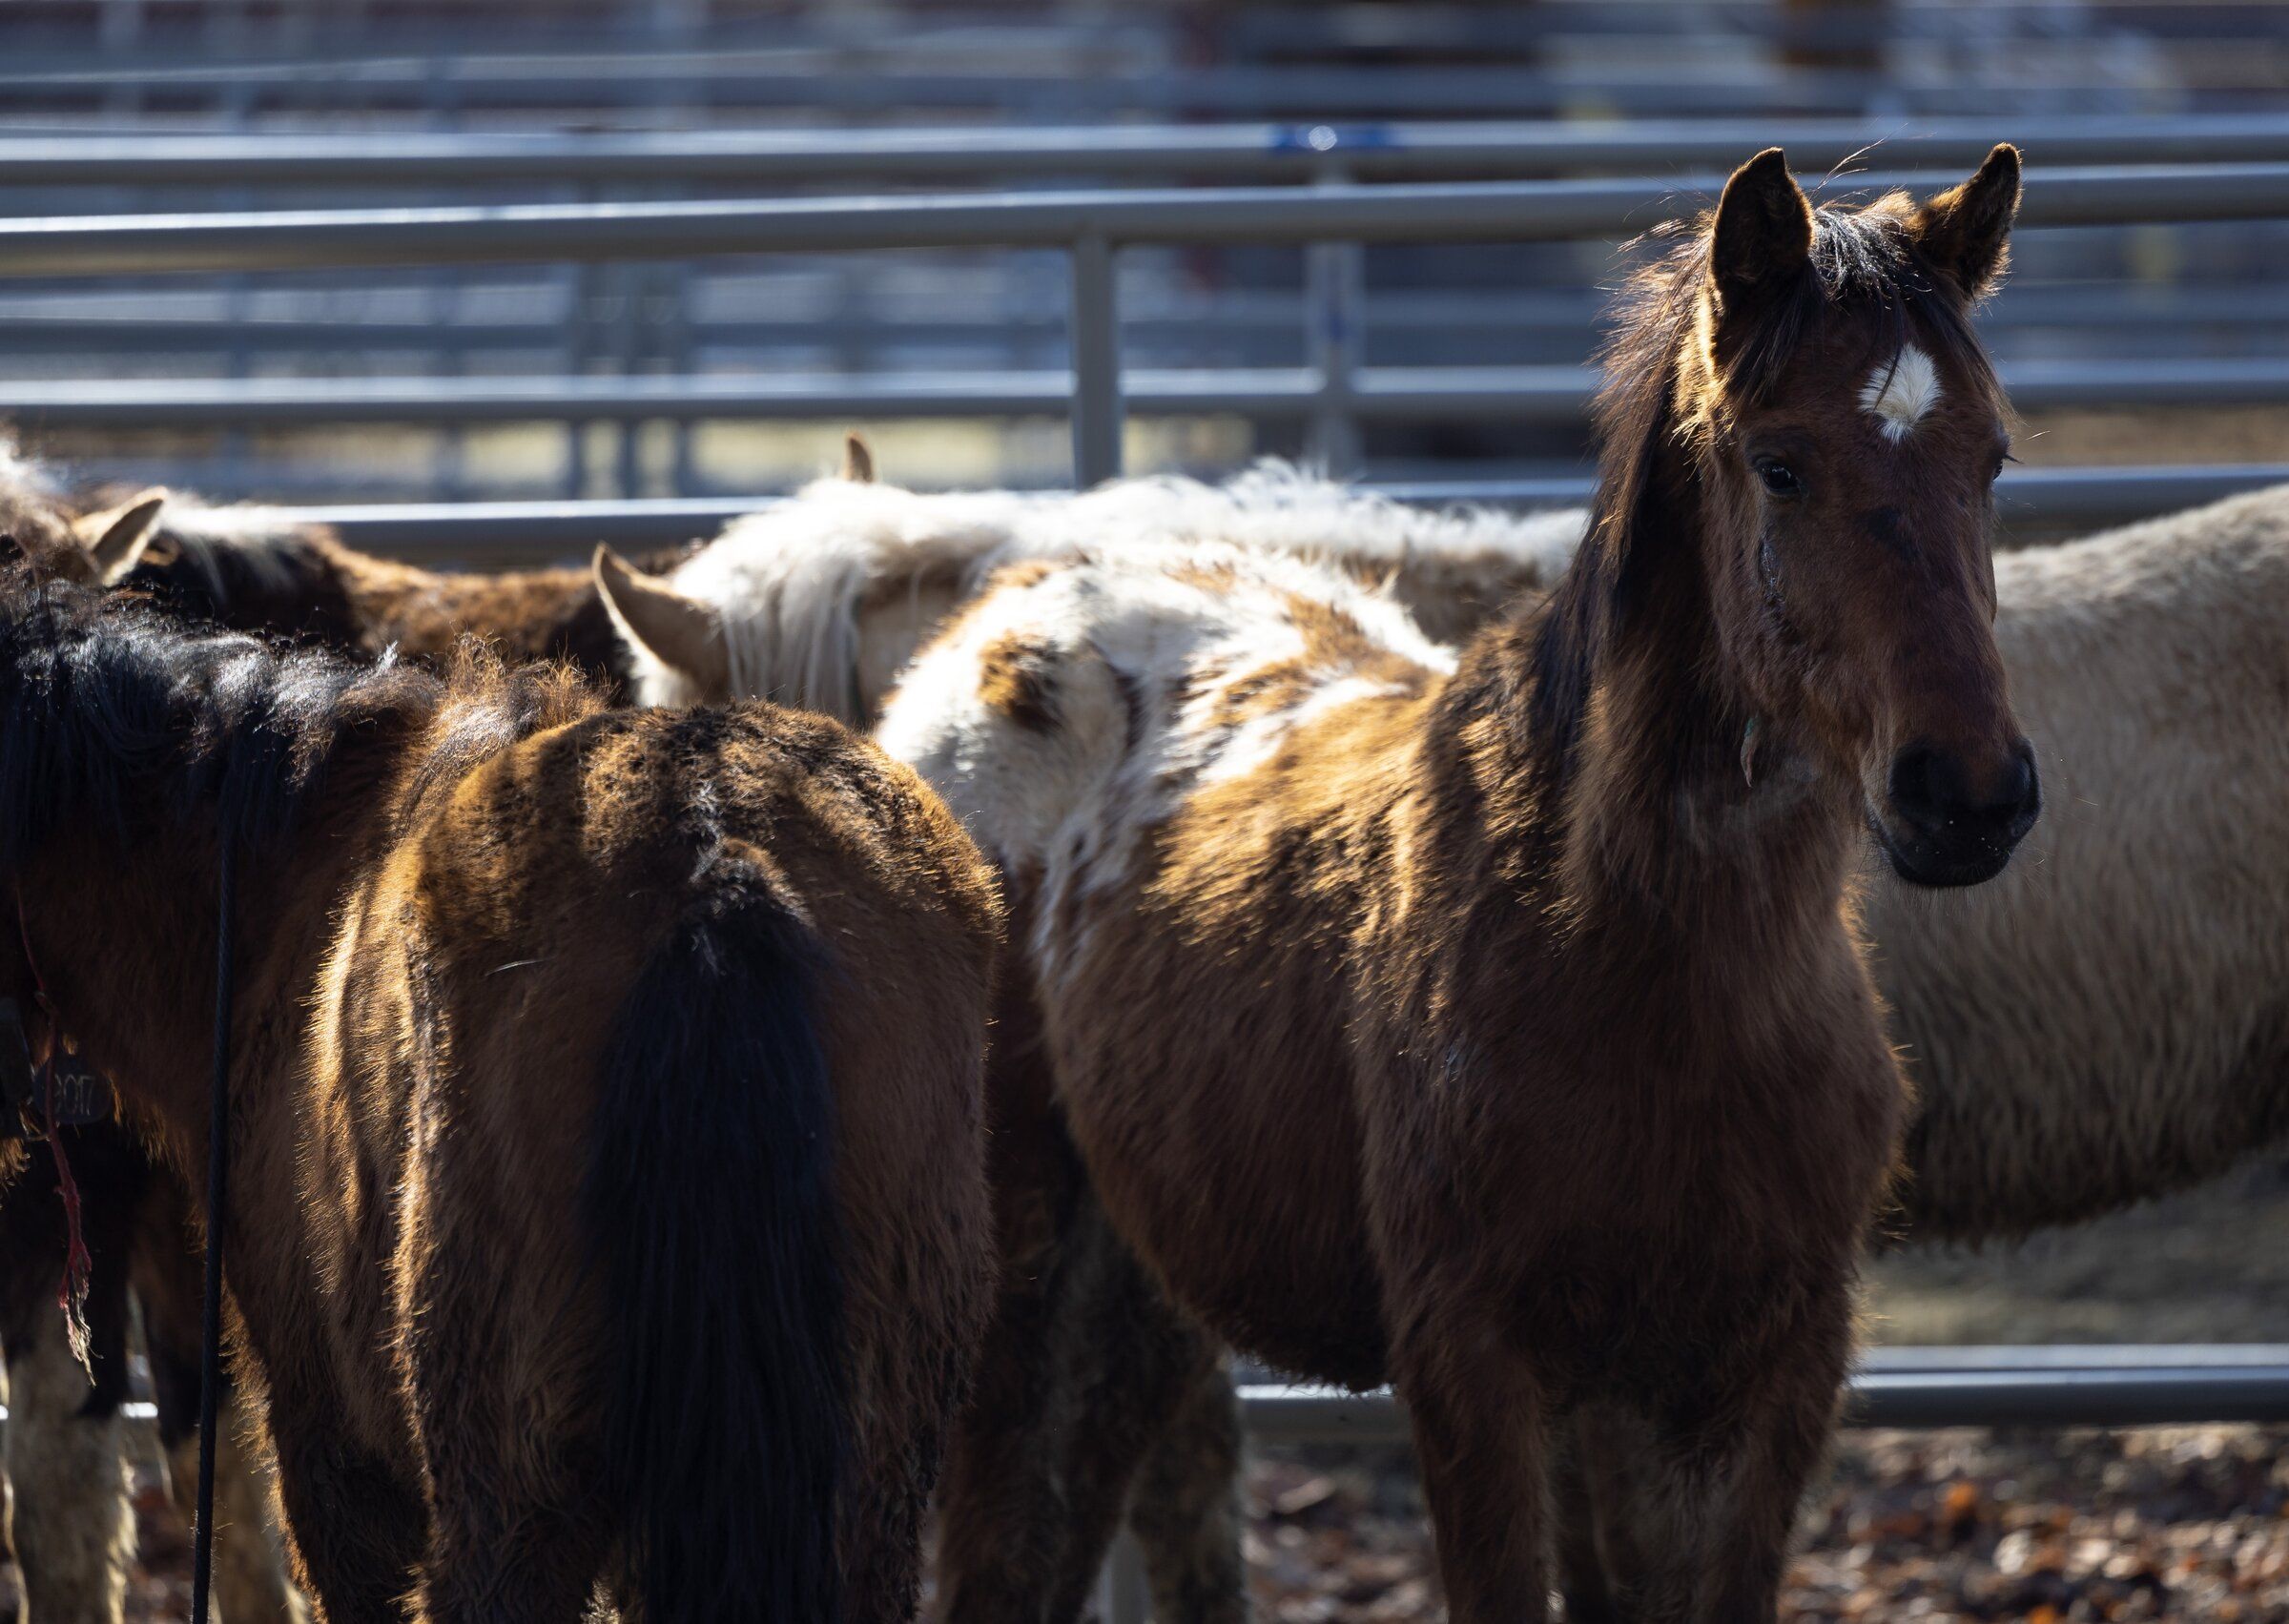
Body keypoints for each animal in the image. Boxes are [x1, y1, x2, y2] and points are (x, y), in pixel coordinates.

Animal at [871, 146, 2038, 1621]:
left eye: (1992, 457)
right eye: (1780, 465)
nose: (1972, 792)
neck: (1624, 963)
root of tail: (1005, 615)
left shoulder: (1750, 1375)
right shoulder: (1476, 1369)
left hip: (1132, 1287)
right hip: (1020, 1271)